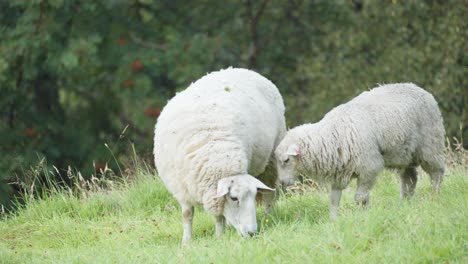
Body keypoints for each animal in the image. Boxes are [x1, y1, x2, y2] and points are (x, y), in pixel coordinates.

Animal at [154, 67, 286, 243]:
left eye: (253, 196)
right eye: (234, 198)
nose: (252, 233)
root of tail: (243, 70)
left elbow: (218, 217)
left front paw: (218, 236)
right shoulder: (182, 188)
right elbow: (187, 214)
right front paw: (187, 241)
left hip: (271, 158)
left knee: (270, 192)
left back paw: (268, 217)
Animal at [274, 83, 446, 220]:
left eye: (286, 160)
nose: (282, 183)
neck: (331, 136)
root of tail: (422, 89)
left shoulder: (369, 167)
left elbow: (360, 198)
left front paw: (363, 216)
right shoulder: (339, 172)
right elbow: (334, 200)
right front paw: (334, 221)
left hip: (430, 144)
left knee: (436, 172)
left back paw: (435, 196)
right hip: (404, 154)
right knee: (410, 178)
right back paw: (404, 203)